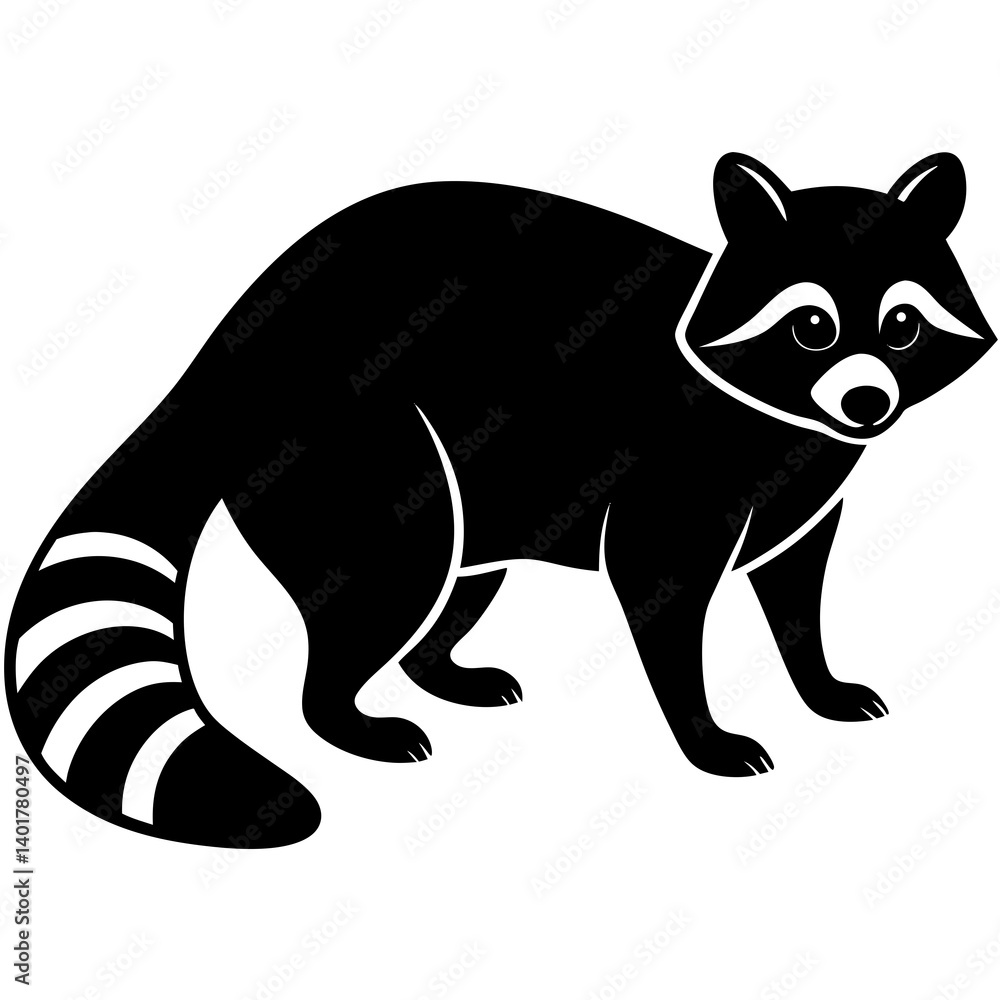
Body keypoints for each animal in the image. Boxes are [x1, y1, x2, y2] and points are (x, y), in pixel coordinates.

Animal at [6, 152, 993, 847]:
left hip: (489, 486)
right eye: (812, 326)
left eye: (902, 324)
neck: (789, 421)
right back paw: (344, 715)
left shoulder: (808, 486)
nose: (865, 403)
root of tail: (226, 343)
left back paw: (440, 664)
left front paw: (816, 680)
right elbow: (664, 600)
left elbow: (796, 589)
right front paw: (704, 731)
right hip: (358, 444)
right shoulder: (675, 472)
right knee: (389, 578)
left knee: (454, 584)